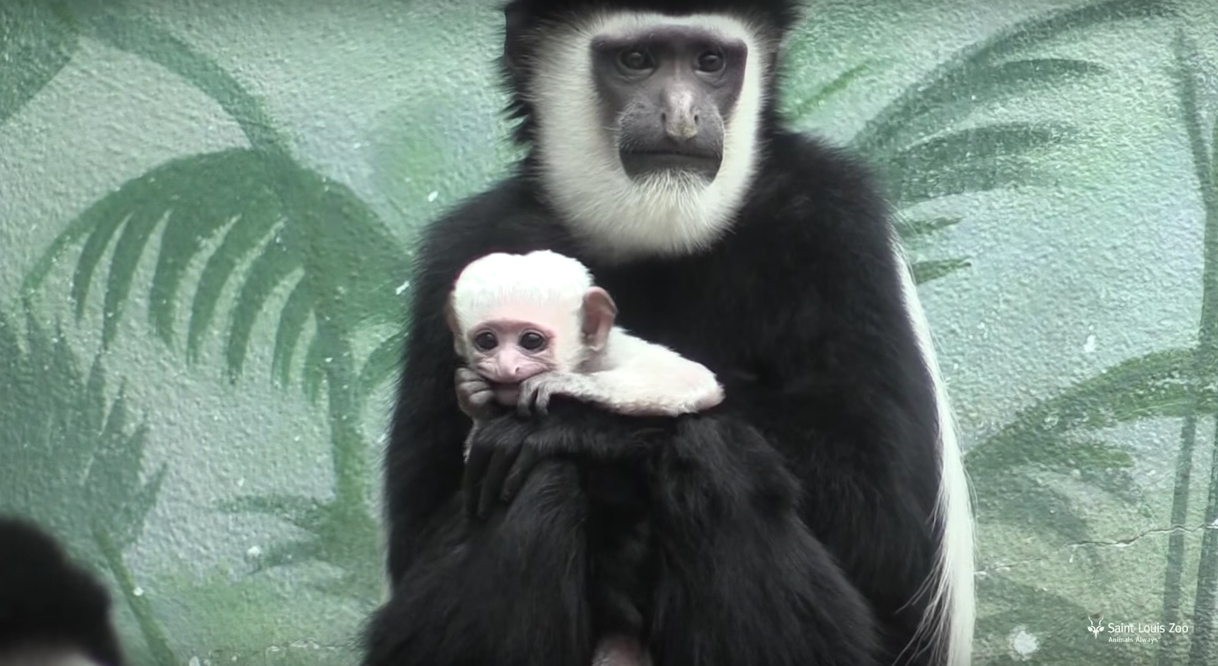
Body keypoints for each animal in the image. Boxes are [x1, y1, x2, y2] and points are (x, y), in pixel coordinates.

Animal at [365, 1, 974, 665]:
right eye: (638, 60)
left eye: (710, 62)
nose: (682, 117)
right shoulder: (466, 247)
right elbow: (418, 527)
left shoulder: (835, 225)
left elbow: (883, 517)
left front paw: (581, 420)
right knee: (529, 483)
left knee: (707, 456)